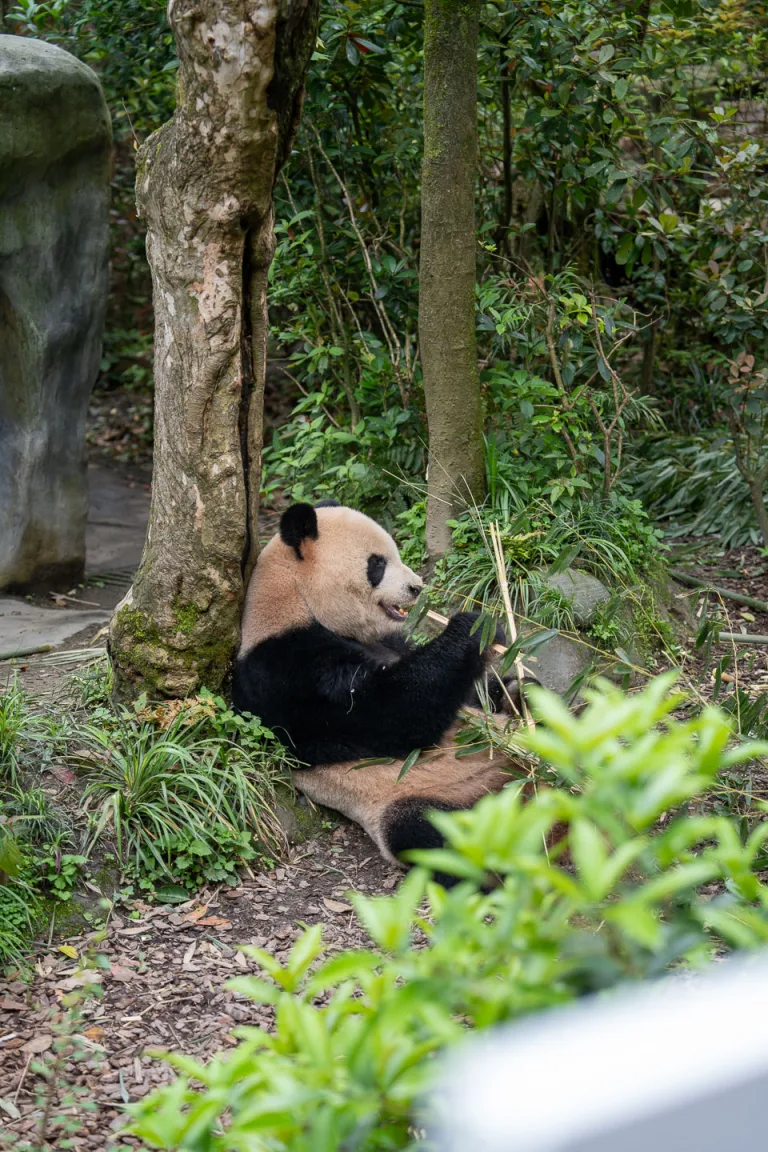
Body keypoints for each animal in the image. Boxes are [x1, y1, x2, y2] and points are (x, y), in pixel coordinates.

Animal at [232, 499, 524, 868]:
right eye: (378, 564)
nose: (416, 588)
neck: (295, 600)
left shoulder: (391, 642)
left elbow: (461, 693)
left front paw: (505, 677)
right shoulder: (287, 671)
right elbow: (390, 713)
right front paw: (475, 627)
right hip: (428, 800)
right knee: (437, 838)